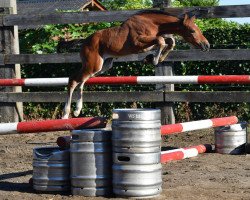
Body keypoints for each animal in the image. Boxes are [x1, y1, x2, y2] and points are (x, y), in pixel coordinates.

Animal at [61, 10, 210, 119]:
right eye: (192, 31)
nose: (206, 45)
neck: (152, 23)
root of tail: (84, 42)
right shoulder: (139, 42)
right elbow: (161, 40)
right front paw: (153, 60)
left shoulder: (149, 42)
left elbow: (169, 41)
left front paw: (153, 58)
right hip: (93, 65)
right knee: (73, 80)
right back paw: (66, 114)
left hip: (103, 66)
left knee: (81, 82)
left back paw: (77, 110)